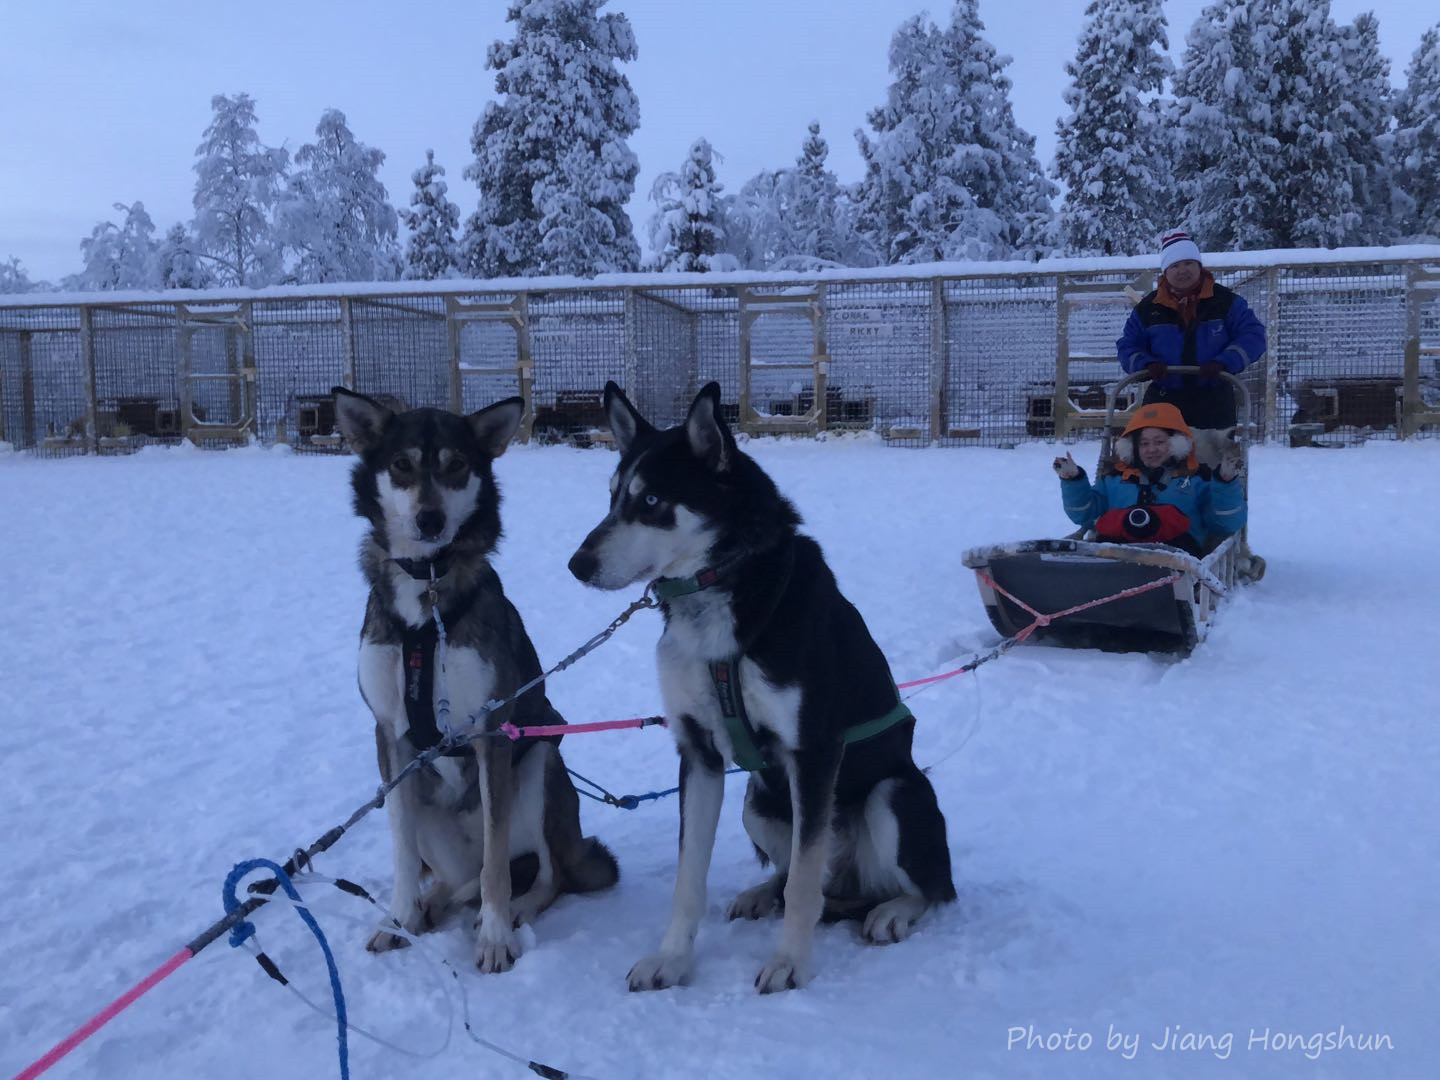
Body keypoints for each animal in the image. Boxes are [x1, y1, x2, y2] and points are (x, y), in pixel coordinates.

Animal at [335, 385, 619, 973]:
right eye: (401, 465)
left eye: (456, 465)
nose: (429, 520)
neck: (426, 601)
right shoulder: (390, 736)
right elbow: (401, 851)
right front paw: (399, 919)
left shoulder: (492, 731)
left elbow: (496, 866)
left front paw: (493, 938)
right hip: (429, 810)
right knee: (456, 878)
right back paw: (429, 904)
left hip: (539, 767)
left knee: (539, 873)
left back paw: (515, 910)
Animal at [564, 383, 956, 996]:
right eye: (611, 498)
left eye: (650, 501)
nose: (577, 564)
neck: (717, 592)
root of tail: (853, 885)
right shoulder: (698, 754)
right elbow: (690, 879)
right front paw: (672, 959)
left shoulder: (814, 752)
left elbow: (803, 886)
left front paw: (790, 961)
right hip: (758, 802)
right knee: (798, 872)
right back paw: (760, 894)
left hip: (890, 796)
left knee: (923, 887)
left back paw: (892, 911)